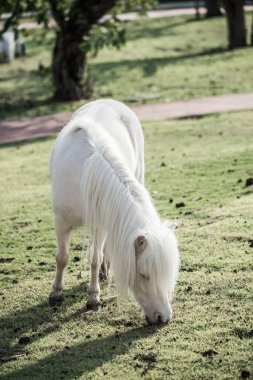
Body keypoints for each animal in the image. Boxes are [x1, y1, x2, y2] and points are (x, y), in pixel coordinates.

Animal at [49, 98, 180, 324]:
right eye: (144, 275)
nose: (163, 317)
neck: (84, 175)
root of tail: (109, 100)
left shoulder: (101, 224)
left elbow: (95, 258)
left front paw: (93, 297)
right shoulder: (61, 222)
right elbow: (62, 257)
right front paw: (56, 293)